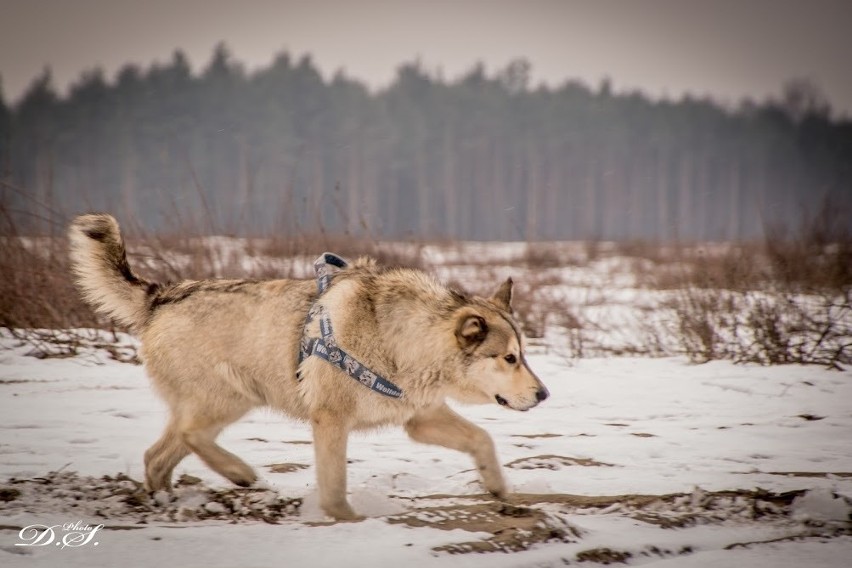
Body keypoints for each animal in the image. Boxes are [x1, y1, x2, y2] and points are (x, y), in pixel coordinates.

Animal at [70, 212, 548, 520]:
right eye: (509, 358)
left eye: (523, 354)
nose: (544, 395)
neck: (403, 340)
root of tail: (161, 295)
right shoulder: (331, 421)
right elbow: (334, 491)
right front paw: (350, 522)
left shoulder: (421, 418)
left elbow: (483, 439)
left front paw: (498, 488)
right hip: (231, 399)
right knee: (188, 437)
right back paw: (241, 475)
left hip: (213, 407)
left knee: (156, 456)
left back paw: (167, 503)